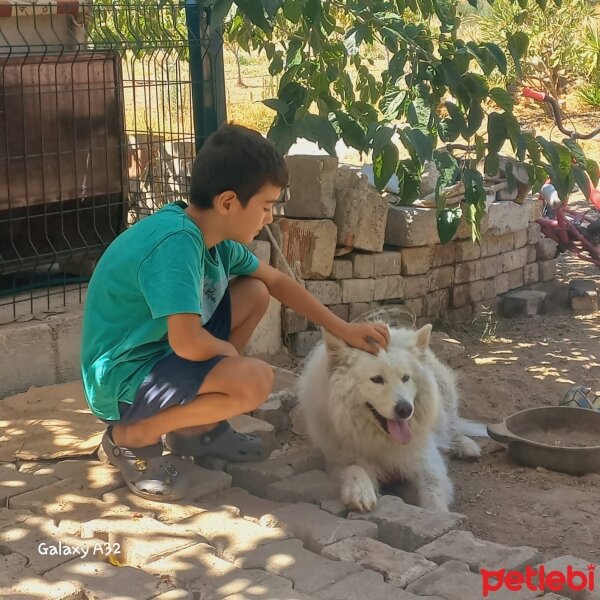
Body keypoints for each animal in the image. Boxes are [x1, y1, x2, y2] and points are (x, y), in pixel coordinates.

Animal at [298, 322, 486, 512]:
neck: (385, 441)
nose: (405, 409)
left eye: (406, 378)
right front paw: (360, 492)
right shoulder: (340, 459)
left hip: (445, 395)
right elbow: (354, 468)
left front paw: (438, 513)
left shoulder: (425, 462)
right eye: (377, 379)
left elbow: (433, 493)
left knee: (451, 426)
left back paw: (467, 446)